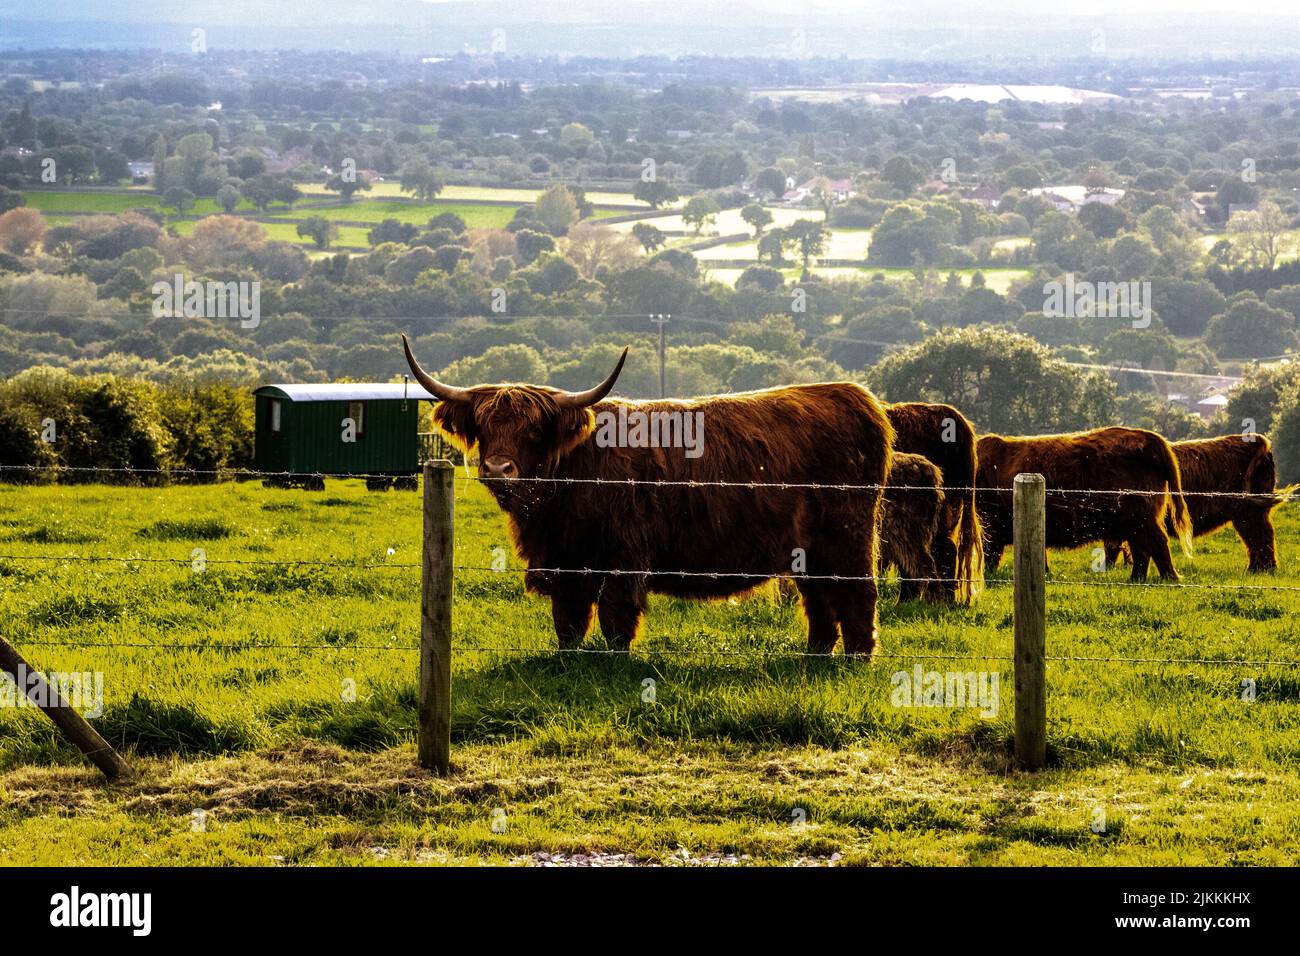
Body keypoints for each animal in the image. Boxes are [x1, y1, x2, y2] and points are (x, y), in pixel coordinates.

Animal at [402, 335, 895, 655]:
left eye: (534, 430)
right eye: (484, 427)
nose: (497, 469)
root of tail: (858, 397)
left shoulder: (624, 554)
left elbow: (615, 616)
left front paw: (614, 663)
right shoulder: (566, 559)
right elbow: (569, 619)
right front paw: (570, 661)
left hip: (848, 539)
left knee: (857, 597)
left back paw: (856, 659)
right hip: (809, 550)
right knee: (820, 602)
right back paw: (814, 657)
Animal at [975, 426, 1193, 581]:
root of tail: (1149, 437)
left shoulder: (990, 524)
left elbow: (989, 553)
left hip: (1141, 517)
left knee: (1157, 543)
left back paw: (1170, 578)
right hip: (1135, 521)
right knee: (1142, 548)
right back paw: (1136, 579)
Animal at [1103, 434, 1289, 573]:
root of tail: (1260, 442)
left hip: (1250, 511)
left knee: (1260, 536)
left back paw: (1263, 569)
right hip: (1250, 512)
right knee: (1257, 537)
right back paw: (1257, 569)